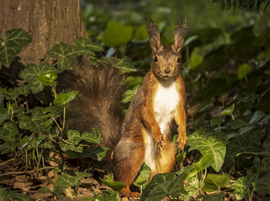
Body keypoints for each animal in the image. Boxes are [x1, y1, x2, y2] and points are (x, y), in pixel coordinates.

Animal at [58, 16, 187, 198]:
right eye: (155, 58)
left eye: (178, 59)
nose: (167, 71)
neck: (166, 83)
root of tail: (113, 156)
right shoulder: (145, 95)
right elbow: (145, 112)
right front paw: (156, 132)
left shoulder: (180, 95)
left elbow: (181, 115)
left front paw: (183, 136)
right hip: (134, 151)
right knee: (122, 178)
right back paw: (128, 191)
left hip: (169, 153)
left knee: (155, 176)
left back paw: (161, 187)